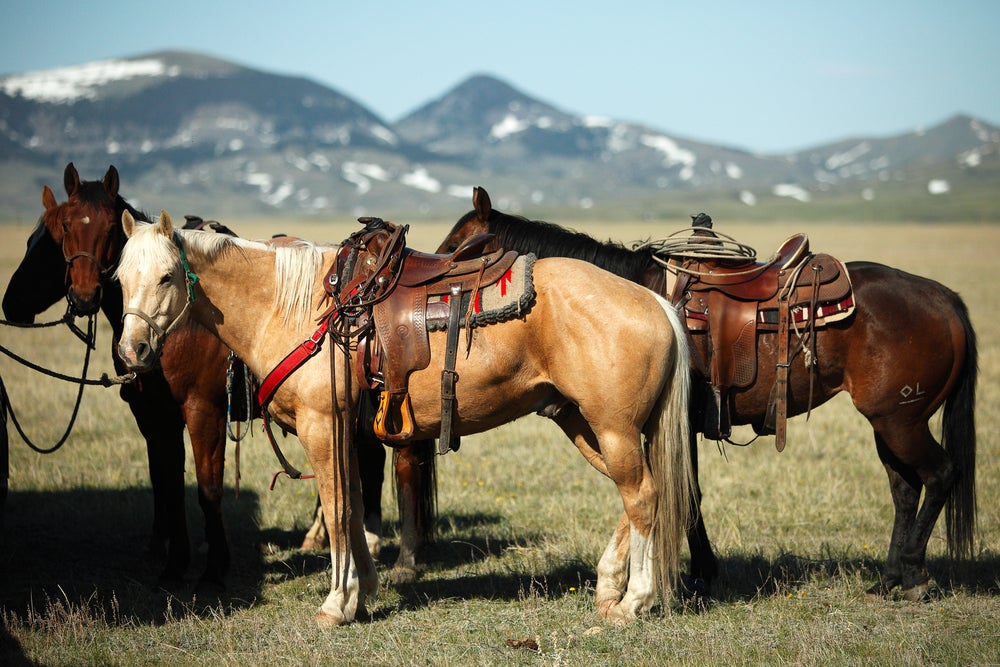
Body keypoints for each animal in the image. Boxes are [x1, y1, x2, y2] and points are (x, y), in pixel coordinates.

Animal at [2, 164, 232, 588]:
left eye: (110, 228)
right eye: (66, 228)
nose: (85, 295)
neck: (175, 327)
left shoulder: (203, 411)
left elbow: (208, 488)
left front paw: (214, 570)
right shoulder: (154, 416)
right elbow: (169, 485)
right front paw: (174, 563)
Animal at [115, 213, 696, 628]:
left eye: (166, 276)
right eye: (119, 278)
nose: (131, 350)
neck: (294, 308)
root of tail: (656, 303)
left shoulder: (320, 427)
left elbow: (337, 508)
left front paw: (337, 604)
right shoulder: (346, 433)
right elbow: (352, 510)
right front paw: (363, 591)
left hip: (614, 429)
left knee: (643, 496)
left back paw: (633, 602)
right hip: (584, 423)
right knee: (641, 493)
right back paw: (608, 587)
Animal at [430, 185, 976, 604]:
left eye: (462, 247)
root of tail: (945, 298)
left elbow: (682, 494)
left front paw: (696, 577)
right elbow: (686, 493)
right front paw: (699, 573)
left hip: (900, 420)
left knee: (939, 474)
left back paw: (914, 575)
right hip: (889, 422)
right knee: (905, 488)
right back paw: (889, 579)